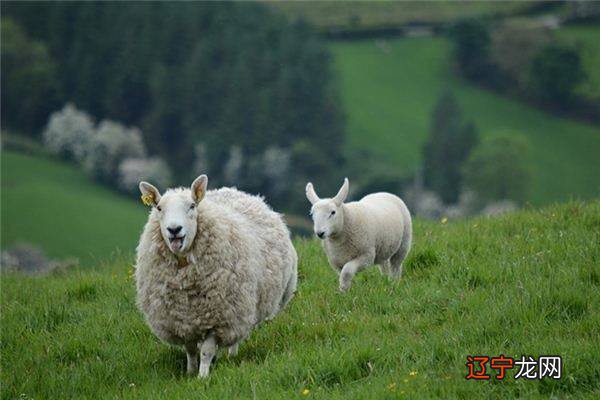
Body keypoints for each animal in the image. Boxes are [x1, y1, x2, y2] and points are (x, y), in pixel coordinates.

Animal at [134, 175, 298, 378]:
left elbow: (206, 350)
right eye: (159, 208)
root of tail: (234, 191)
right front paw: (190, 372)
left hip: (242, 307)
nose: (174, 229)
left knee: (238, 334)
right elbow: (190, 349)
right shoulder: (182, 320)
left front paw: (202, 376)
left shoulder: (219, 317)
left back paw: (231, 355)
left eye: (192, 206)